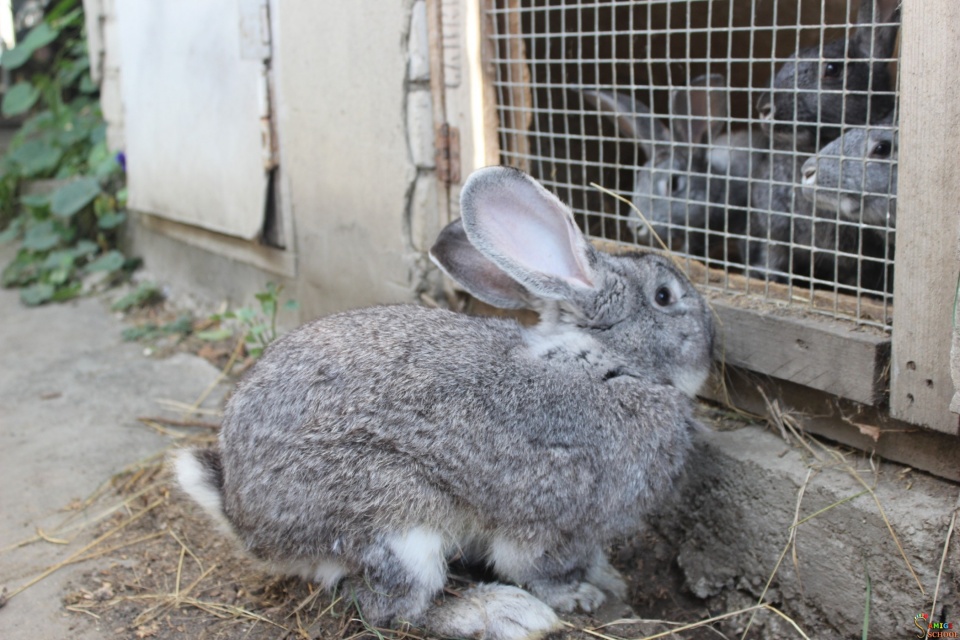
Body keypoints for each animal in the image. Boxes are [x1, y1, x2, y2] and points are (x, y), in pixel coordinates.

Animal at [172, 166, 715, 640]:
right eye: (665, 296)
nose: (712, 345)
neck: (600, 362)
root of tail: (243, 518)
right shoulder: (553, 522)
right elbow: (543, 569)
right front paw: (579, 597)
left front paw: (610, 579)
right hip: (397, 522)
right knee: (393, 610)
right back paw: (504, 614)